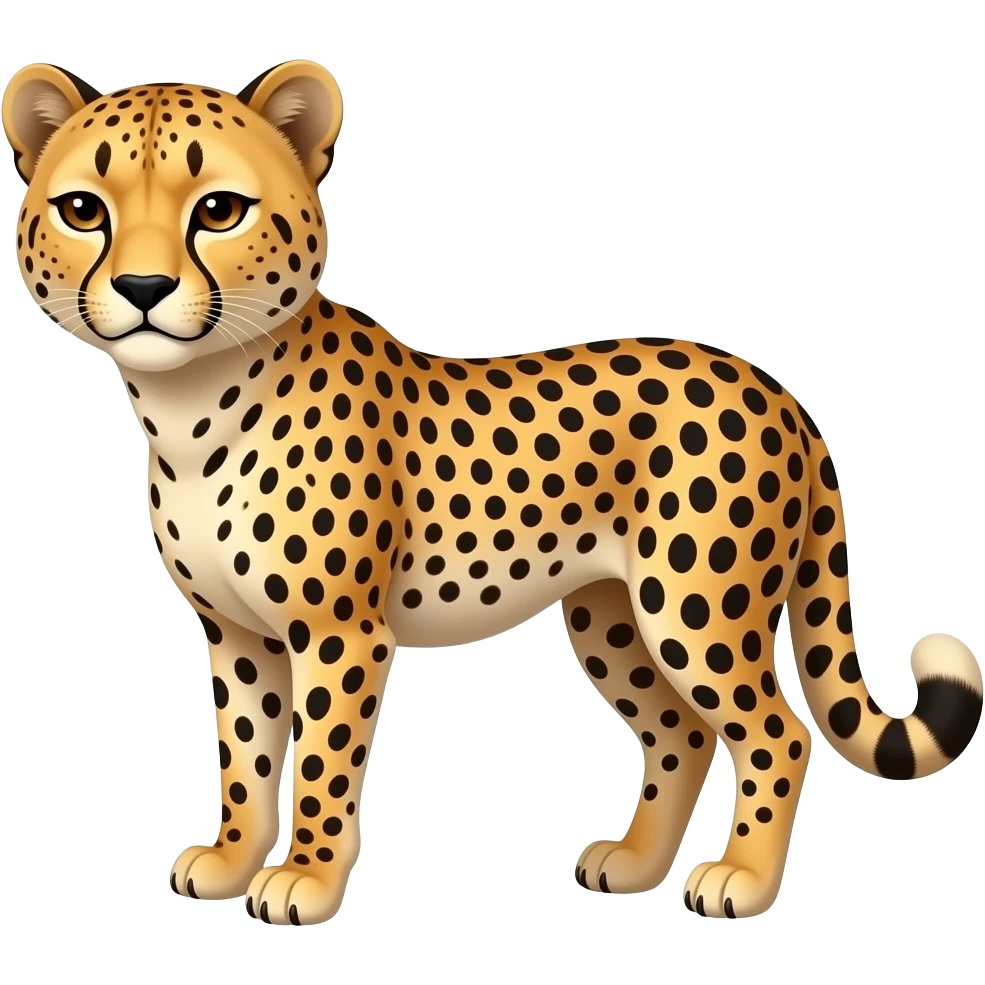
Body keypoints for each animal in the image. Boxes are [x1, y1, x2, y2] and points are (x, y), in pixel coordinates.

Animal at [4, 58, 982, 926]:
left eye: (218, 209)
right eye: (84, 209)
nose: (142, 287)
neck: (191, 401)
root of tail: (775, 389)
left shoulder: (339, 632)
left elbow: (318, 762)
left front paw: (305, 880)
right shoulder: (237, 633)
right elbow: (243, 759)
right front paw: (231, 859)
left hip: (695, 609)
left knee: (775, 730)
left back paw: (739, 879)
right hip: (611, 616)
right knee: (681, 732)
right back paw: (635, 863)